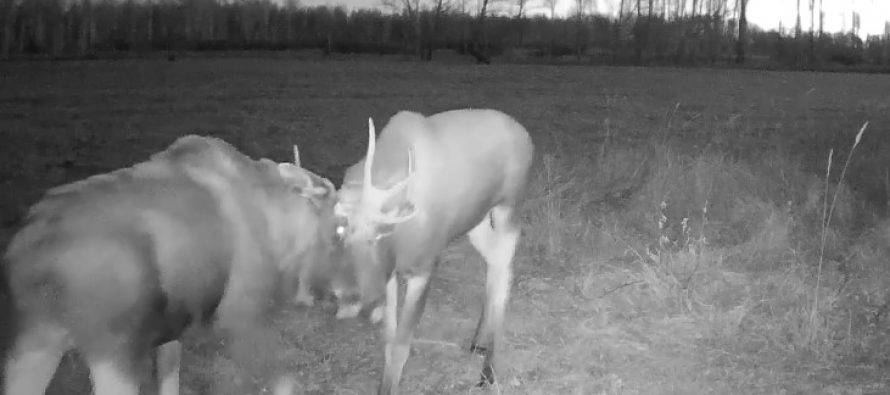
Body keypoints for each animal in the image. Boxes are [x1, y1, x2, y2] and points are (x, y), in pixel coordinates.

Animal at [1, 135, 336, 394]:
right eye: (336, 220)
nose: (328, 294)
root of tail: (35, 260)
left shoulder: (173, 327)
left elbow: (169, 377)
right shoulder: (241, 313)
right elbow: (279, 378)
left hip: (35, 341)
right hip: (112, 349)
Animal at [330, 109, 532, 395]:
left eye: (378, 232)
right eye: (338, 233)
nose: (349, 297)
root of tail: (525, 134)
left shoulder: (425, 266)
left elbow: (401, 345)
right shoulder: (390, 273)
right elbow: (389, 341)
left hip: (509, 207)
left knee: (505, 268)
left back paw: (488, 371)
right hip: (477, 221)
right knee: (493, 263)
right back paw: (478, 342)